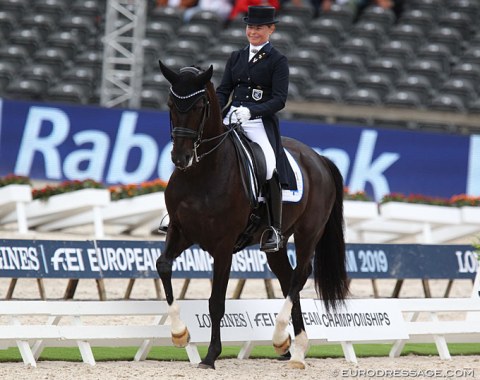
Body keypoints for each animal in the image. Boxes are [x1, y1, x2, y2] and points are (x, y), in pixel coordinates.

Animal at [157, 60, 348, 370]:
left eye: (199, 106)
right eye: (171, 104)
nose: (180, 158)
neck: (202, 172)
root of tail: (317, 158)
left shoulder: (223, 246)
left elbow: (216, 302)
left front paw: (211, 356)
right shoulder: (180, 232)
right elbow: (163, 266)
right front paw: (179, 334)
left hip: (309, 233)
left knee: (299, 276)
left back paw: (286, 341)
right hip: (275, 244)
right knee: (287, 277)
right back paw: (292, 346)